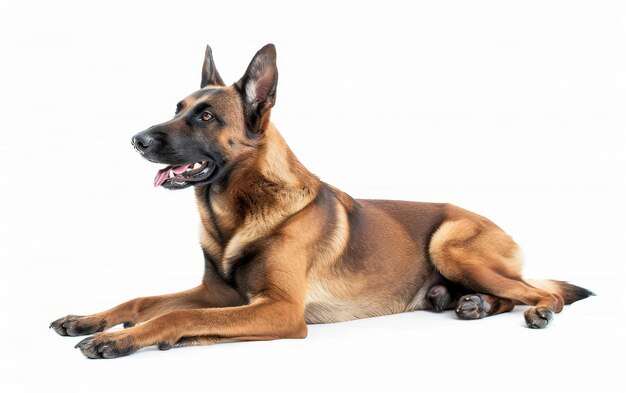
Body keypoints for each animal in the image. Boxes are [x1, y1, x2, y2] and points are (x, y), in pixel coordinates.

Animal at [51, 44, 592, 356]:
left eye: (205, 117)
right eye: (178, 108)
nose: (137, 140)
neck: (236, 213)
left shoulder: (280, 309)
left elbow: (177, 315)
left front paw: (122, 338)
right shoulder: (217, 294)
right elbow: (143, 300)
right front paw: (89, 319)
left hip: (451, 245)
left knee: (539, 291)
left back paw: (536, 311)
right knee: (512, 291)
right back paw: (473, 304)